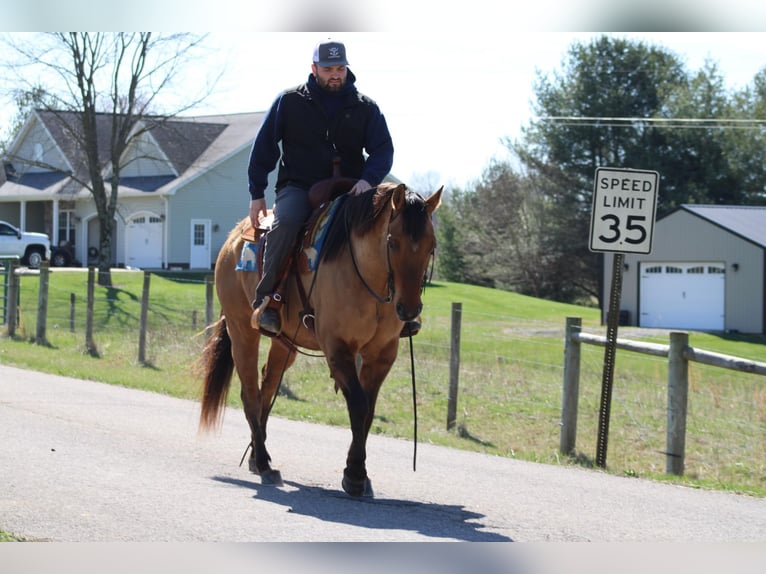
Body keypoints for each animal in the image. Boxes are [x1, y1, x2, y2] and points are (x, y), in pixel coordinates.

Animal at [198, 182, 444, 498]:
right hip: (242, 331)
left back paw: (256, 457)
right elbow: (359, 405)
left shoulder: (382, 354)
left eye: (431, 245)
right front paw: (355, 475)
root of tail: (232, 238)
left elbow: (369, 411)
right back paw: (264, 464)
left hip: (283, 343)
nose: (409, 310)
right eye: (392, 242)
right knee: (251, 395)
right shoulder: (338, 348)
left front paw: (359, 474)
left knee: (267, 389)